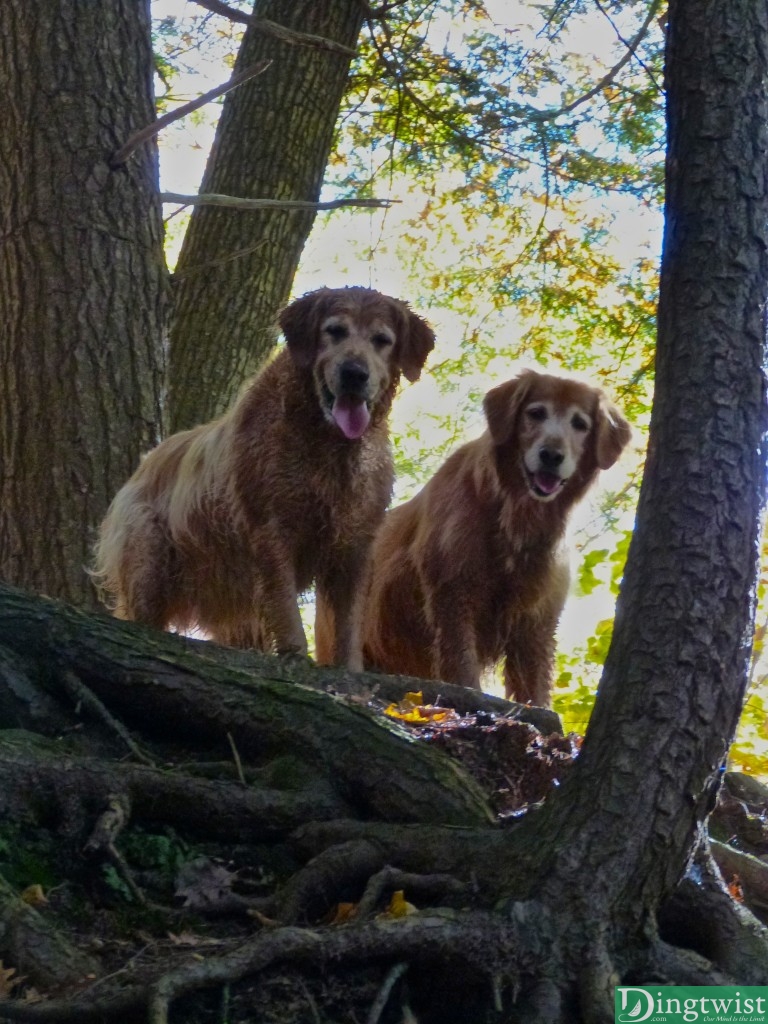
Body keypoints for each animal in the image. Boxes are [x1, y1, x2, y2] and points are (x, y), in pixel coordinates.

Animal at [91, 288, 434, 671]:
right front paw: (296, 656)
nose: (354, 374)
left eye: (382, 340)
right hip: (148, 557)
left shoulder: (354, 543)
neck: (325, 442)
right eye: (335, 331)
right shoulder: (272, 529)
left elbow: (348, 626)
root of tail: (145, 462)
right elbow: (286, 610)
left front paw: (348, 669)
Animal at [360, 372, 630, 708]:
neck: (513, 514)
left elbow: (535, 691)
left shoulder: (537, 622)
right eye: (536, 413)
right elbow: (462, 669)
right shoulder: (454, 598)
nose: (551, 456)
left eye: (580, 424)